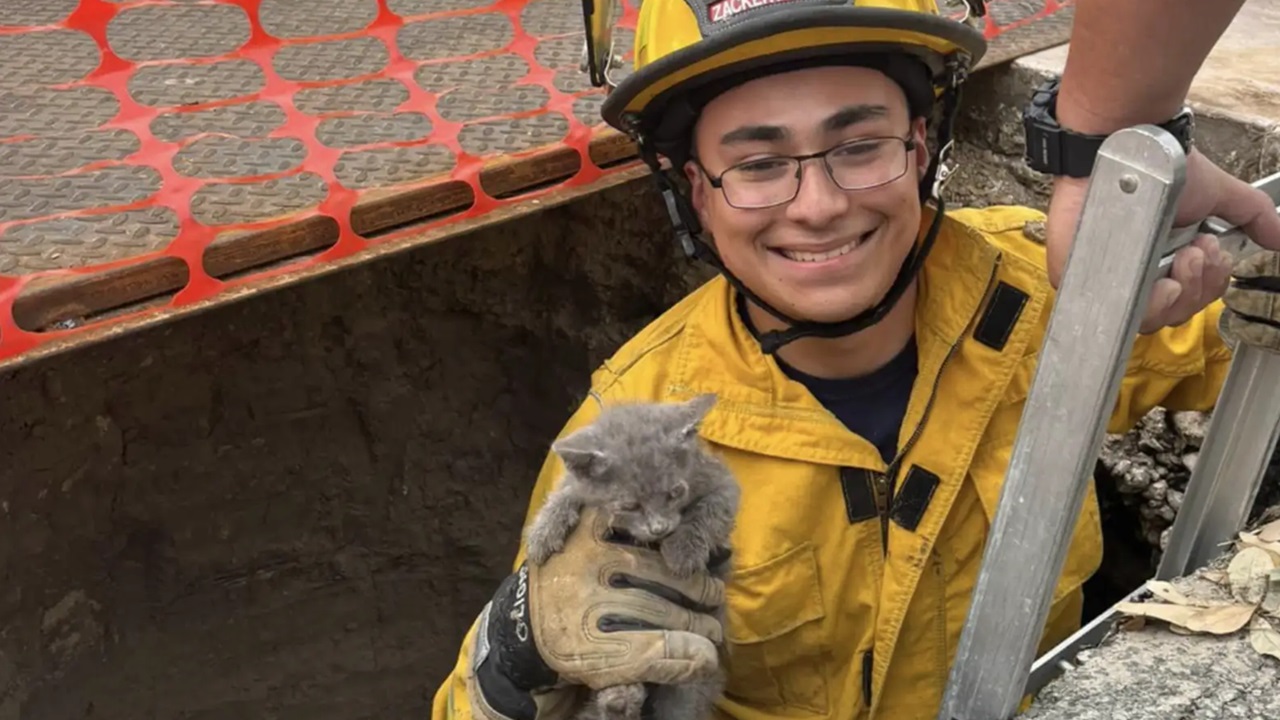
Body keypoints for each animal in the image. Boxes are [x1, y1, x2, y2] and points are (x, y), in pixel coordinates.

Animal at [522, 392, 742, 717]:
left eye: (675, 492)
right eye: (631, 506)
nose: (659, 527)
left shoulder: (723, 482)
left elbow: (710, 510)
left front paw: (683, 550)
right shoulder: (582, 488)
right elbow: (567, 489)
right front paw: (544, 529)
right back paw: (620, 697)